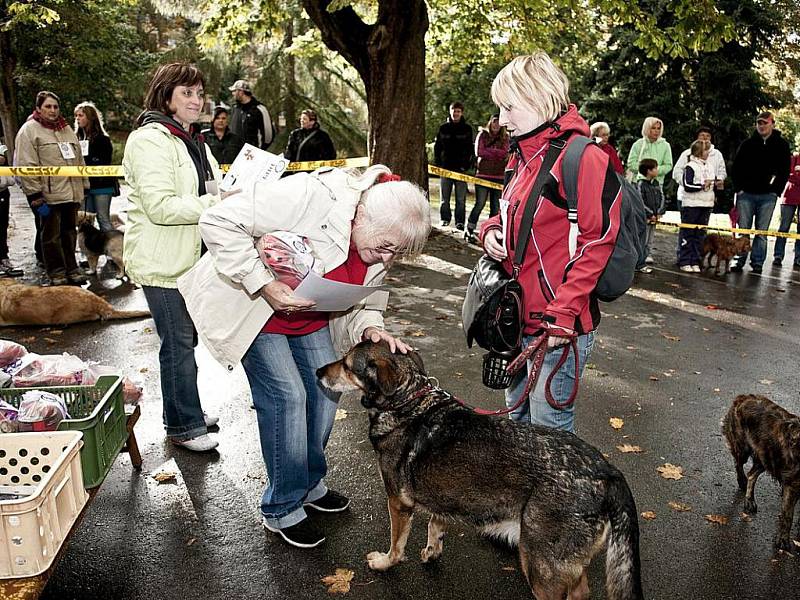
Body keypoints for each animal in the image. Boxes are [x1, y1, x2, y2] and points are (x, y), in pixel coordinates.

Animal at [318, 342, 644, 600]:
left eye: (346, 363)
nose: (319, 372)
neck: (407, 401)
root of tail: (607, 471)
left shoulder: (398, 504)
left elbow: (397, 546)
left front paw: (384, 563)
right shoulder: (444, 498)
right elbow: (434, 526)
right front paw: (432, 551)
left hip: (541, 567)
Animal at [720, 394, 796, 552]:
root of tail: (743, 397)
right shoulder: (792, 485)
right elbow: (787, 516)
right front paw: (782, 540)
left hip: (765, 457)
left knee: (752, 474)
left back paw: (750, 500)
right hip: (742, 449)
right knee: (739, 465)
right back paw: (742, 483)